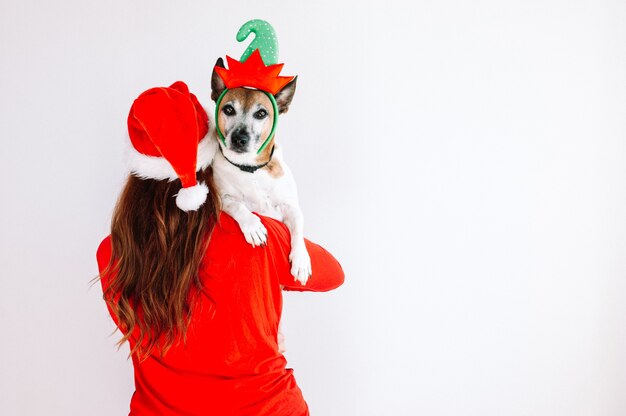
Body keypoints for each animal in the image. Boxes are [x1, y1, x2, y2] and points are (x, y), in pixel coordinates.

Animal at [207, 58, 310, 284]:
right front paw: (253, 226)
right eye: (228, 109)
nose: (239, 138)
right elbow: (238, 205)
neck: (250, 169)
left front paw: (301, 260)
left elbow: (298, 227)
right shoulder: (222, 198)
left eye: (261, 113)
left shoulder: (290, 206)